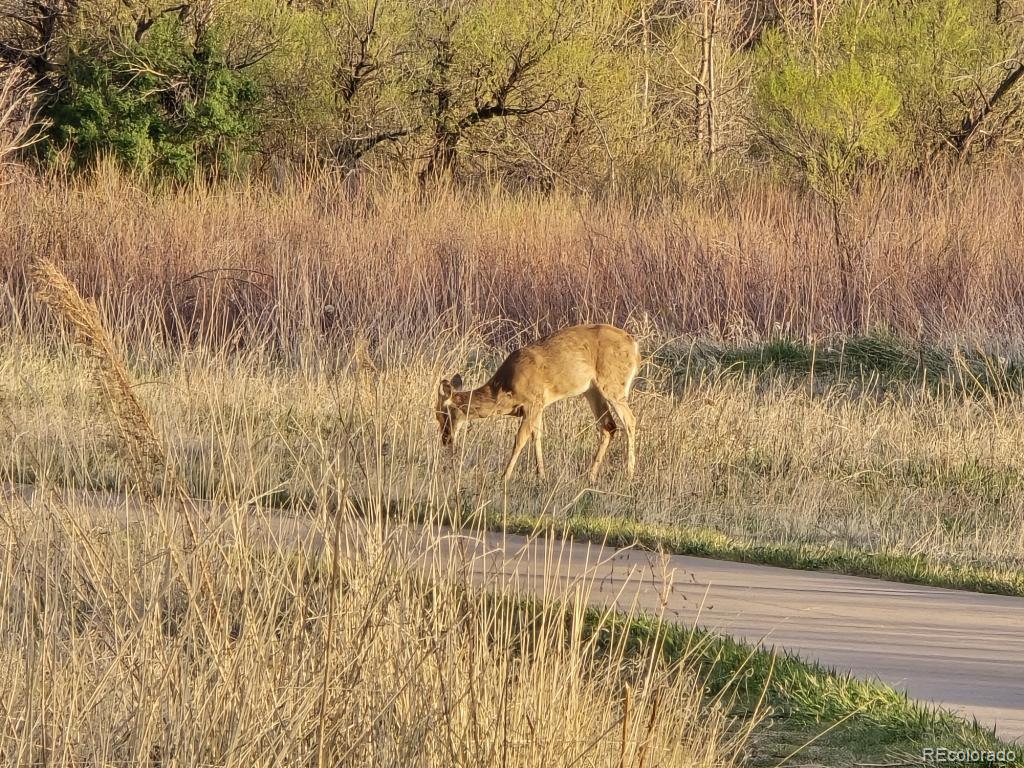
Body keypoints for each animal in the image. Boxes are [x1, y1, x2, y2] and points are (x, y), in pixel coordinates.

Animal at [434, 323, 638, 481]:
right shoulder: (539, 406)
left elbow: (520, 439)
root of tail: (634, 346)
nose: (445, 440)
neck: (504, 389)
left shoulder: (533, 402)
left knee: (630, 420)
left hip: (613, 384)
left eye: (442, 414)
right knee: (608, 425)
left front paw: (504, 476)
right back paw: (591, 476)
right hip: (591, 390)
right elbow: (536, 435)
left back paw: (629, 474)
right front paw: (541, 475)